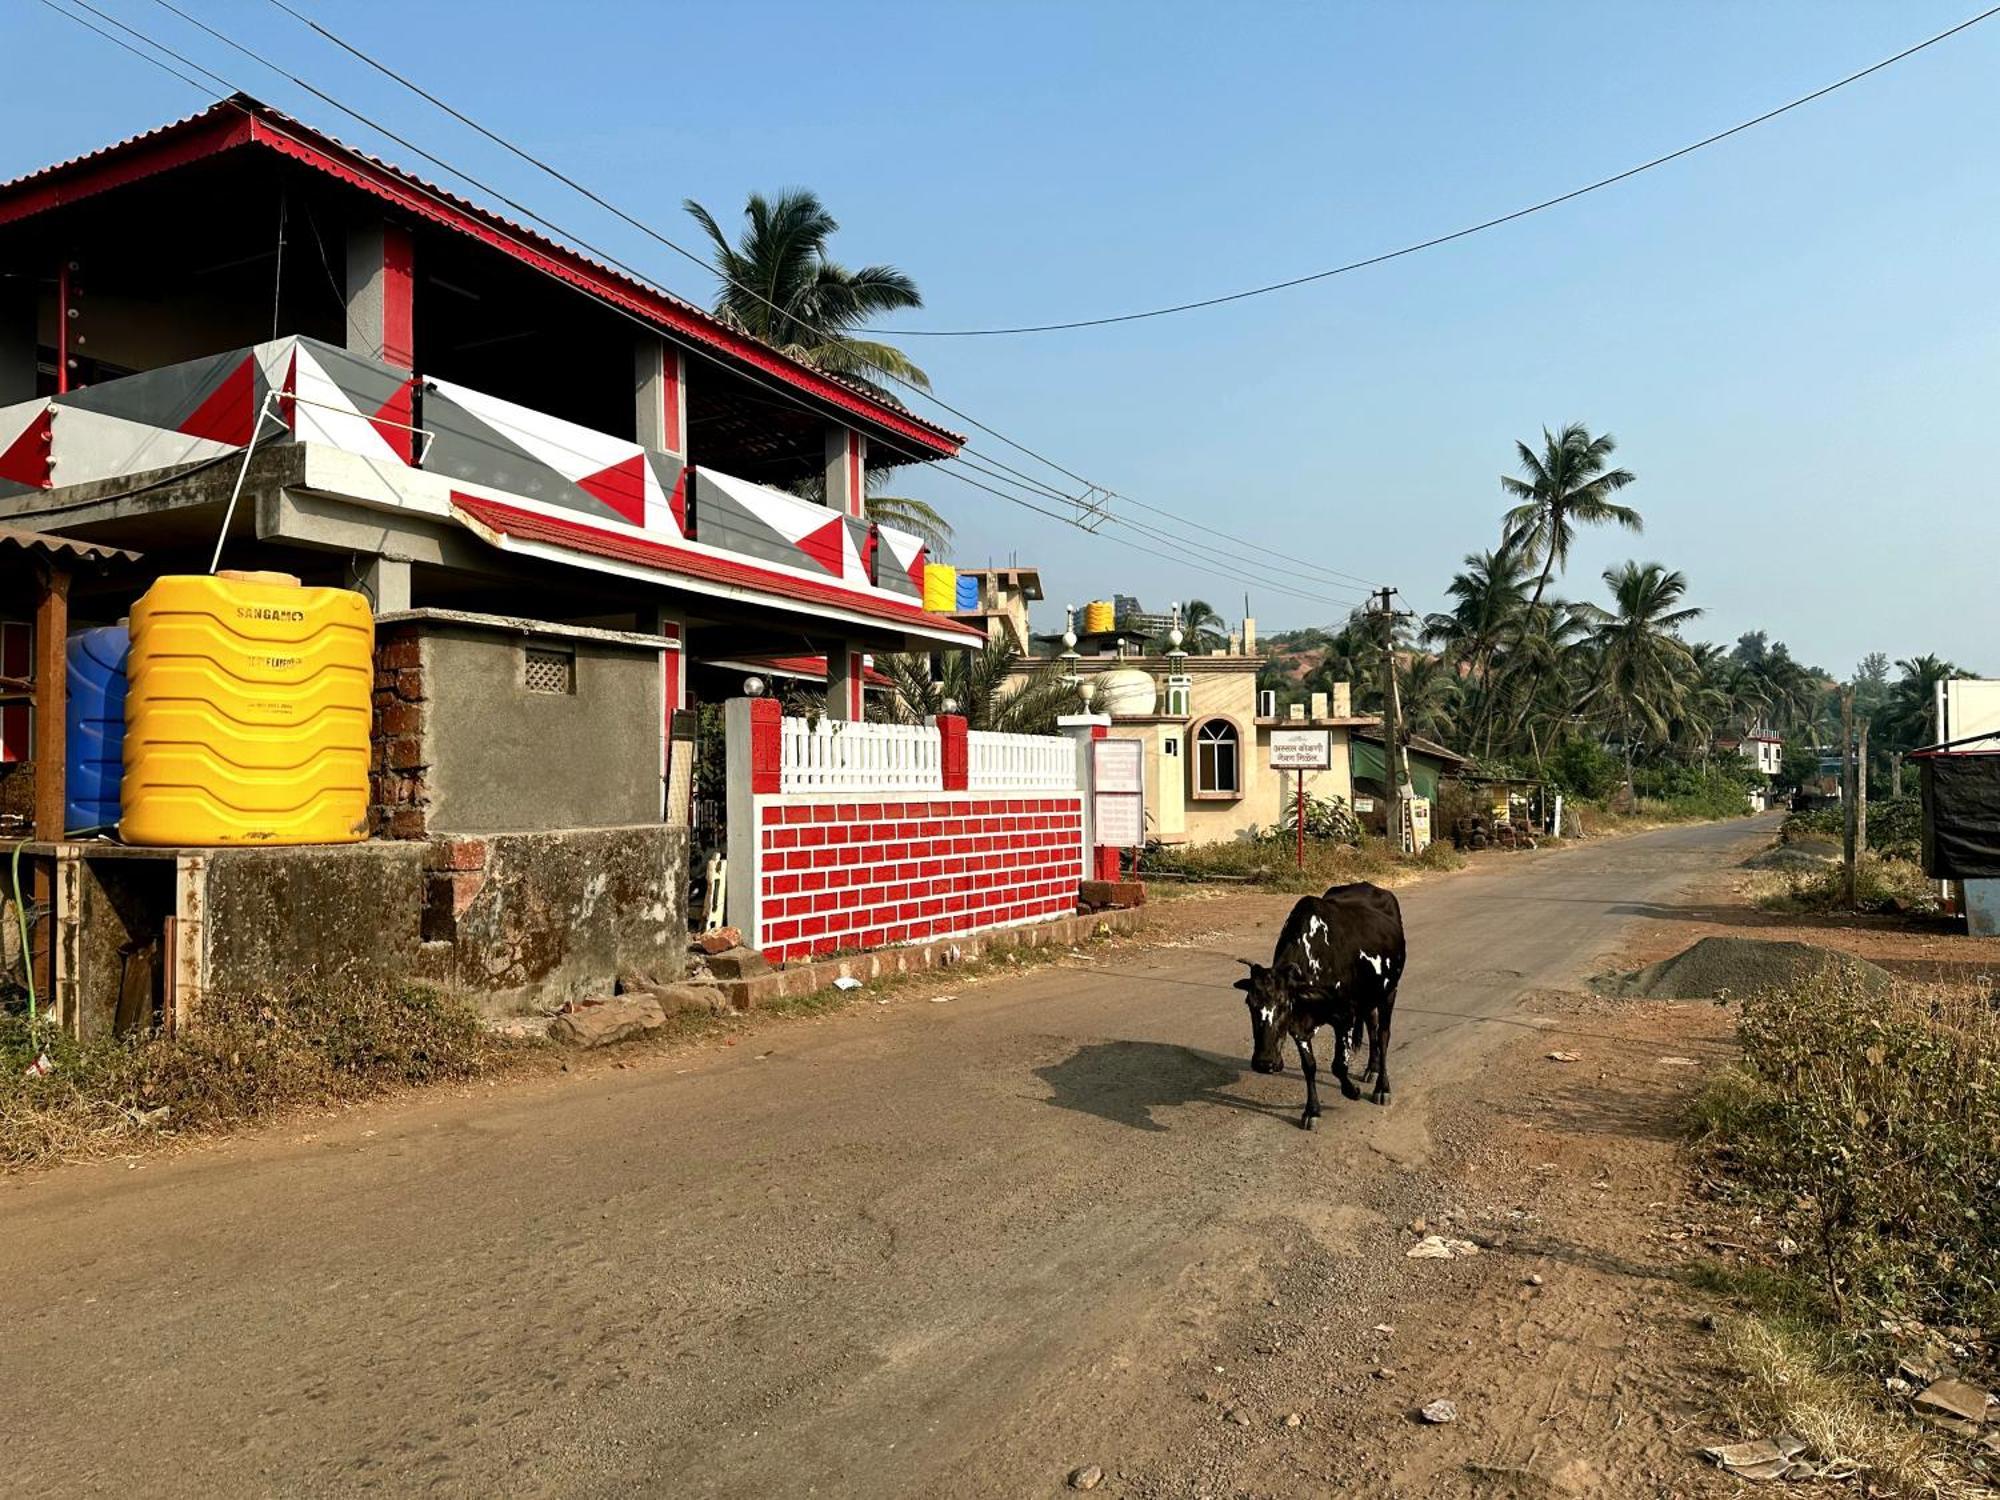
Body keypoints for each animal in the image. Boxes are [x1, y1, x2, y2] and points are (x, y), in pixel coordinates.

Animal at [1232, 880, 1408, 1128]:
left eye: (1284, 1003)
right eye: (1249, 1002)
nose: (1265, 1063)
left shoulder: (1344, 1016)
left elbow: (1339, 1065)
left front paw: (1352, 1091)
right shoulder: (1298, 1026)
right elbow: (1309, 1066)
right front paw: (1312, 1110)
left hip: (1389, 992)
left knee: (1383, 1035)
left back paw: (1382, 1087)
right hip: (1369, 997)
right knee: (1372, 1027)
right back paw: (1371, 1070)